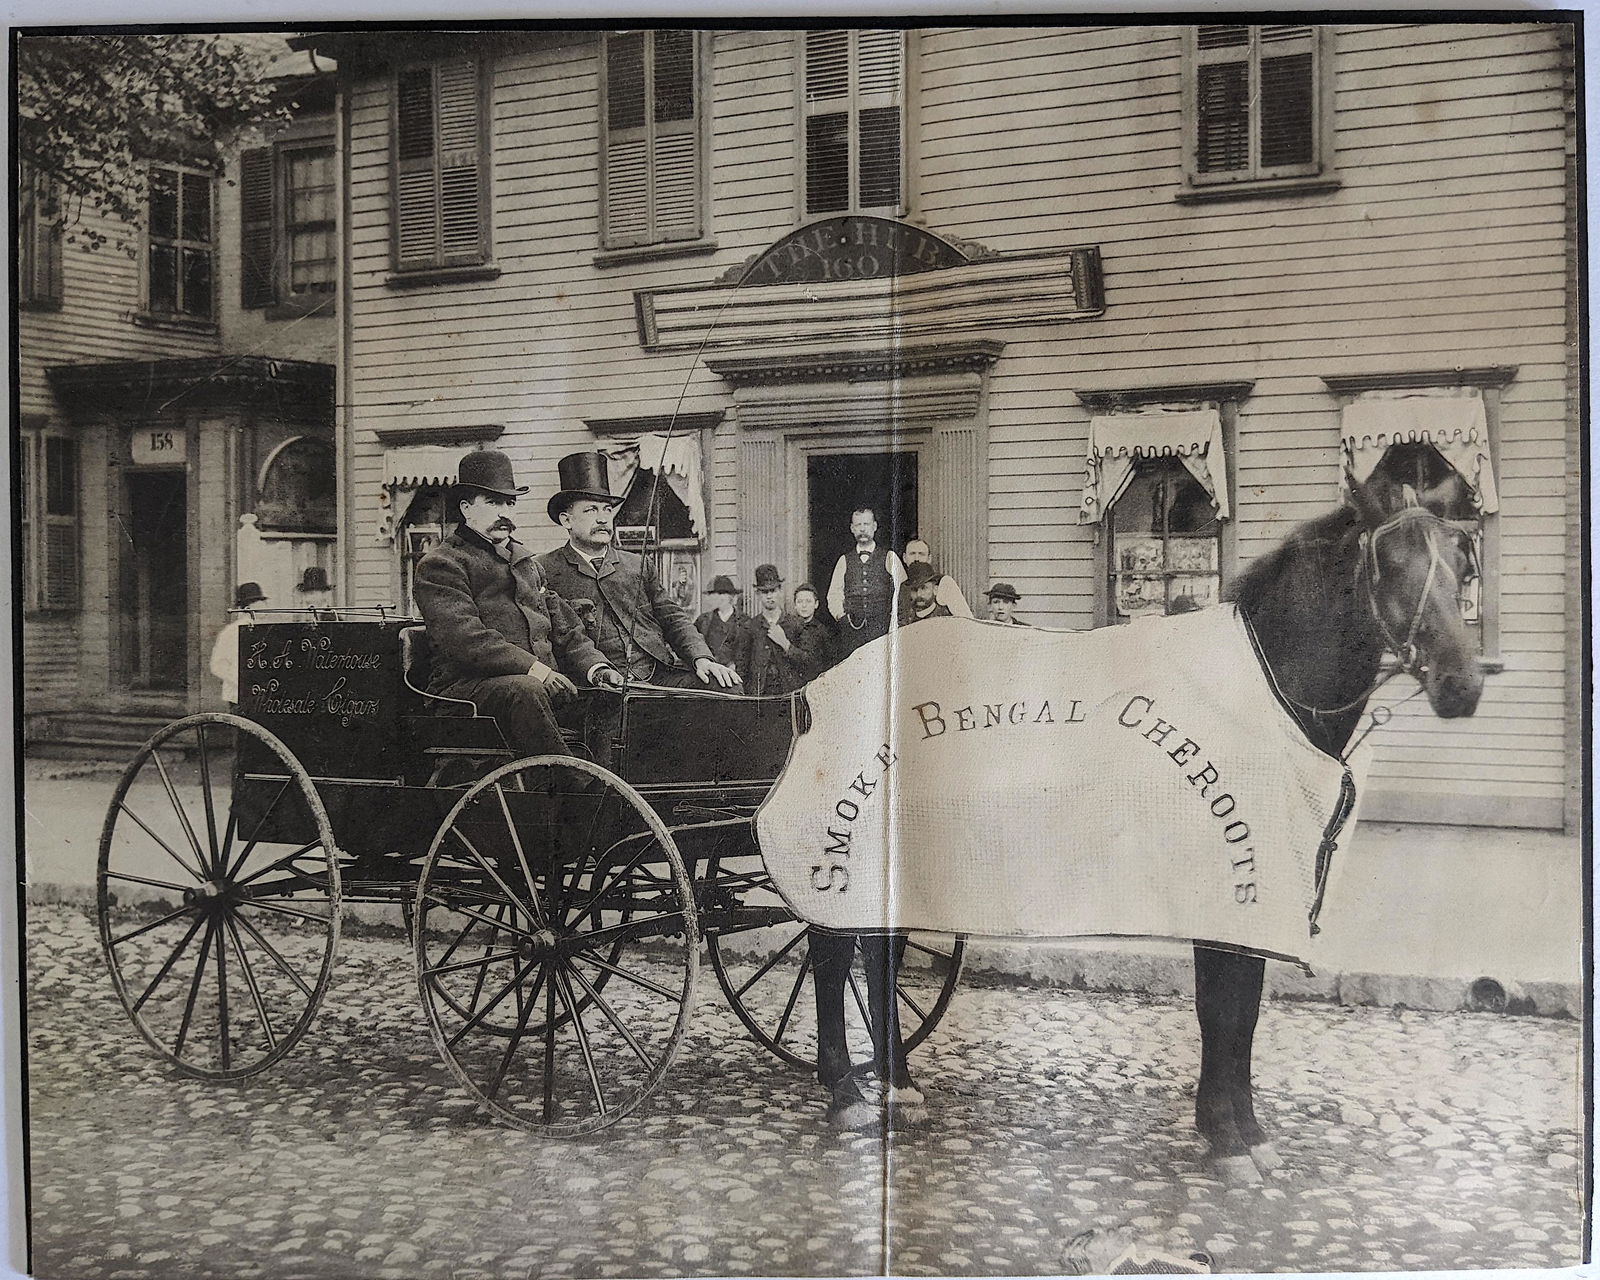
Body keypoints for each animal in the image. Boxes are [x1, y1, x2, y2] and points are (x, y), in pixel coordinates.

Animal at [812, 470, 1484, 1171]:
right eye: (1393, 564)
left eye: (1464, 562)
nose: (1462, 683)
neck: (1253, 702)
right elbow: (1225, 1005)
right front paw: (1228, 1132)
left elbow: (1241, 1005)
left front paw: (1240, 1128)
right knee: (831, 954)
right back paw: (844, 1088)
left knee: (877, 957)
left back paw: (895, 1082)